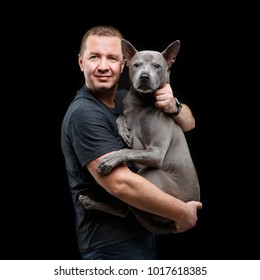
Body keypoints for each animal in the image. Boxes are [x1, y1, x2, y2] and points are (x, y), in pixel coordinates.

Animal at [79, 38, 201, 234]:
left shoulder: (155, 152)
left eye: (157, 66)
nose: (144, 76)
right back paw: (90, 202)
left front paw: (110, 159)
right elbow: (120, 118)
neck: (141, 104)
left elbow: (127, 150)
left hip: (151, 176)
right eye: (136, 65)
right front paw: (124, 130)